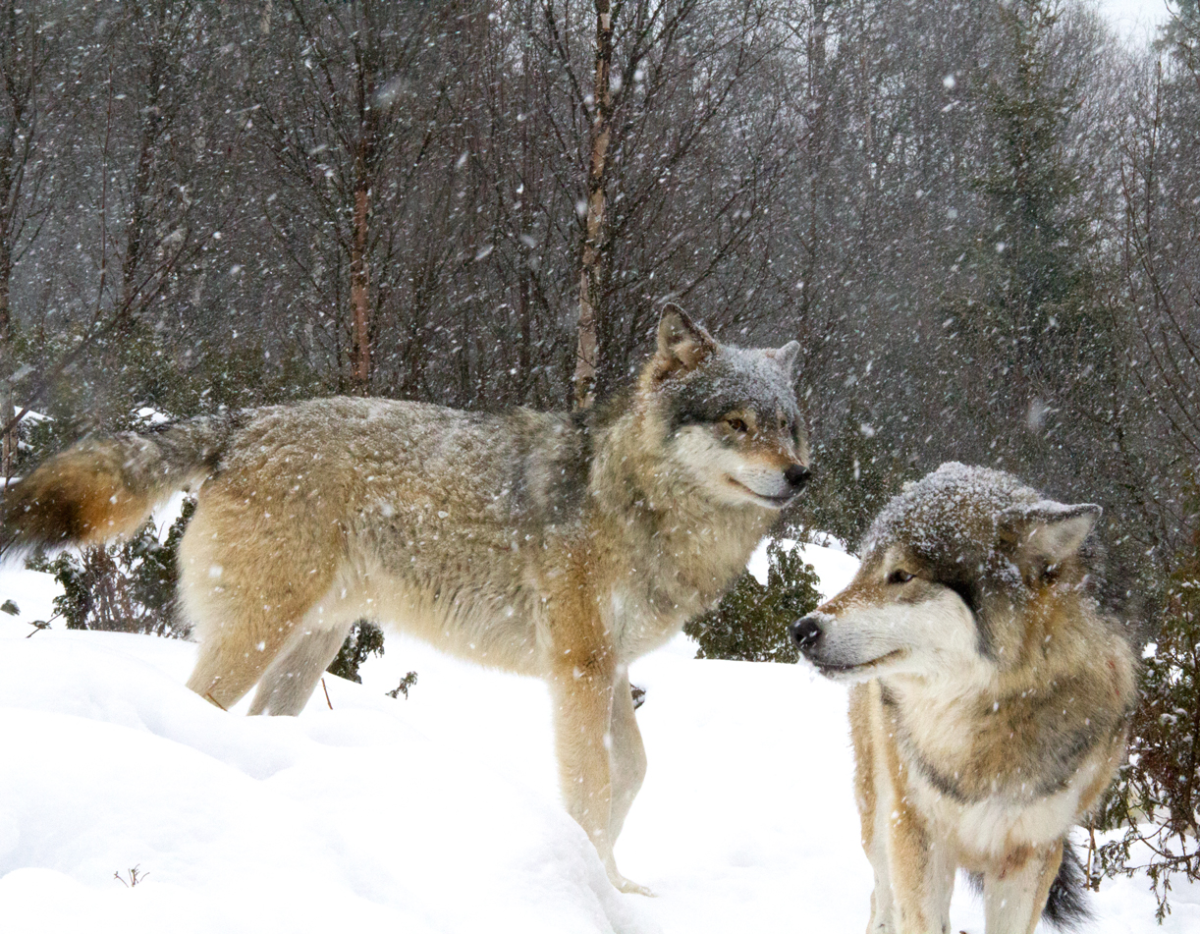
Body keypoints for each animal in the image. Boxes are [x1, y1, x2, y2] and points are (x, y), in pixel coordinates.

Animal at [2, 307, 810, 893]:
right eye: (737, 423)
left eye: (789, 427)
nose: (800, 475)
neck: (635, 501)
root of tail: (245, 420)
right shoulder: (580, 666)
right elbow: (594, 782)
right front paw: (596, 892)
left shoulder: (609, 670)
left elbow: (633, 773)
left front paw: (621, 885)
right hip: (258, 634)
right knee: (193, 708)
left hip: (310, 647)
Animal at [790, 463, 1136, 934]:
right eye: (863, 568)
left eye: (902, 575)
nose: (801, 630)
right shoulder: (916, 832)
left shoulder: (1032, 853)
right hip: (877, 809)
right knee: (881, 889)